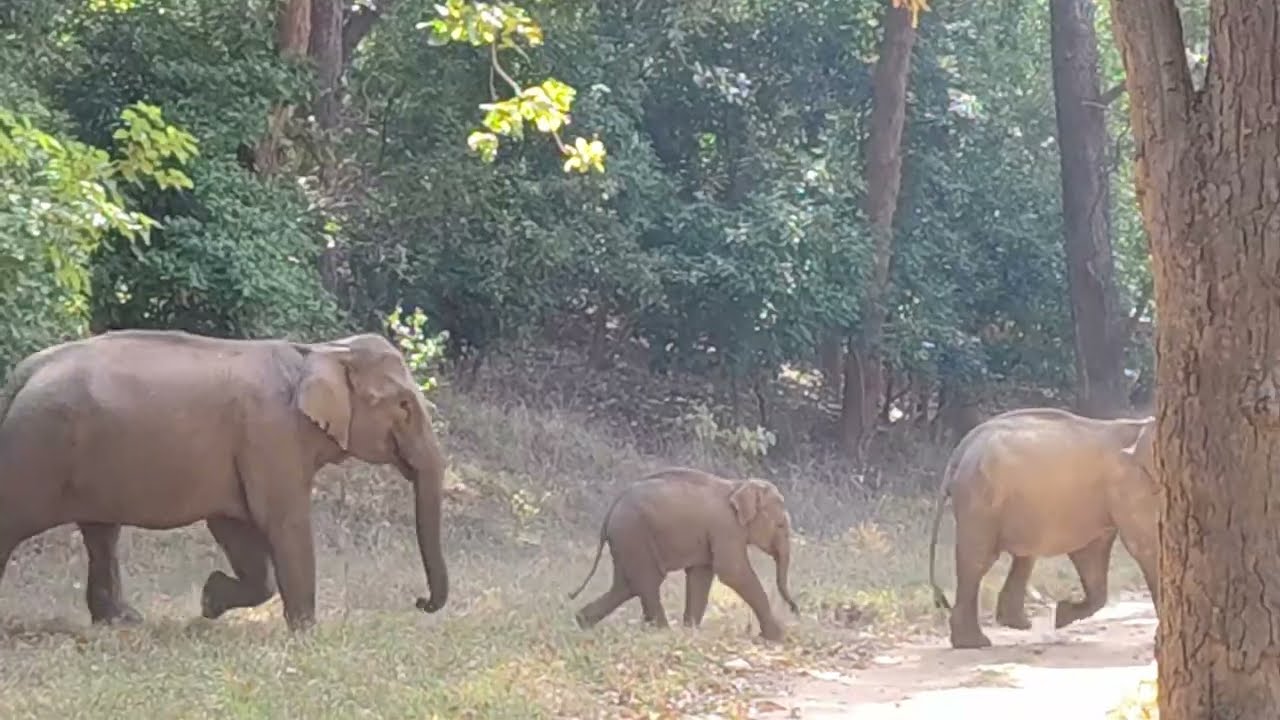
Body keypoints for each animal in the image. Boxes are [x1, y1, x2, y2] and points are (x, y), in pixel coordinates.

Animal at [0, 328, 449, 631]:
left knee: (101, 535)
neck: (321, 350)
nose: (419, 601)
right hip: (35, 451)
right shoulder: (272, 434)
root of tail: (22, 375)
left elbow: (238, 531)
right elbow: (283, 522)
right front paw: (307, 634)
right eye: (404, 406)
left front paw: (208, 601)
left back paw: (123, 621)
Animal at [567, 467, 799, 642]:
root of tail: (610, 510)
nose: (795, 610)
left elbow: (701, 575)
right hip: (634, 534)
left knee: (626, 586)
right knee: (648, 582)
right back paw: (662, 632)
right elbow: (732, 572)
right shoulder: (726, 528)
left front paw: (691, 631)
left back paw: (582, 622)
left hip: (625, 541)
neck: (739, 485)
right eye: (780, 525)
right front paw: (778, 636)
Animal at [927, 407, 1157, 649]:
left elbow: (1092, 553)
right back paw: (974, 642)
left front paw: (1062, 615)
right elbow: (1144, 545)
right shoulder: (1129, 486)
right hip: (980, 498)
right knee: (978, 559)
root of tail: (962, 448)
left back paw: (1016, 624)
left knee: (1023, 556)